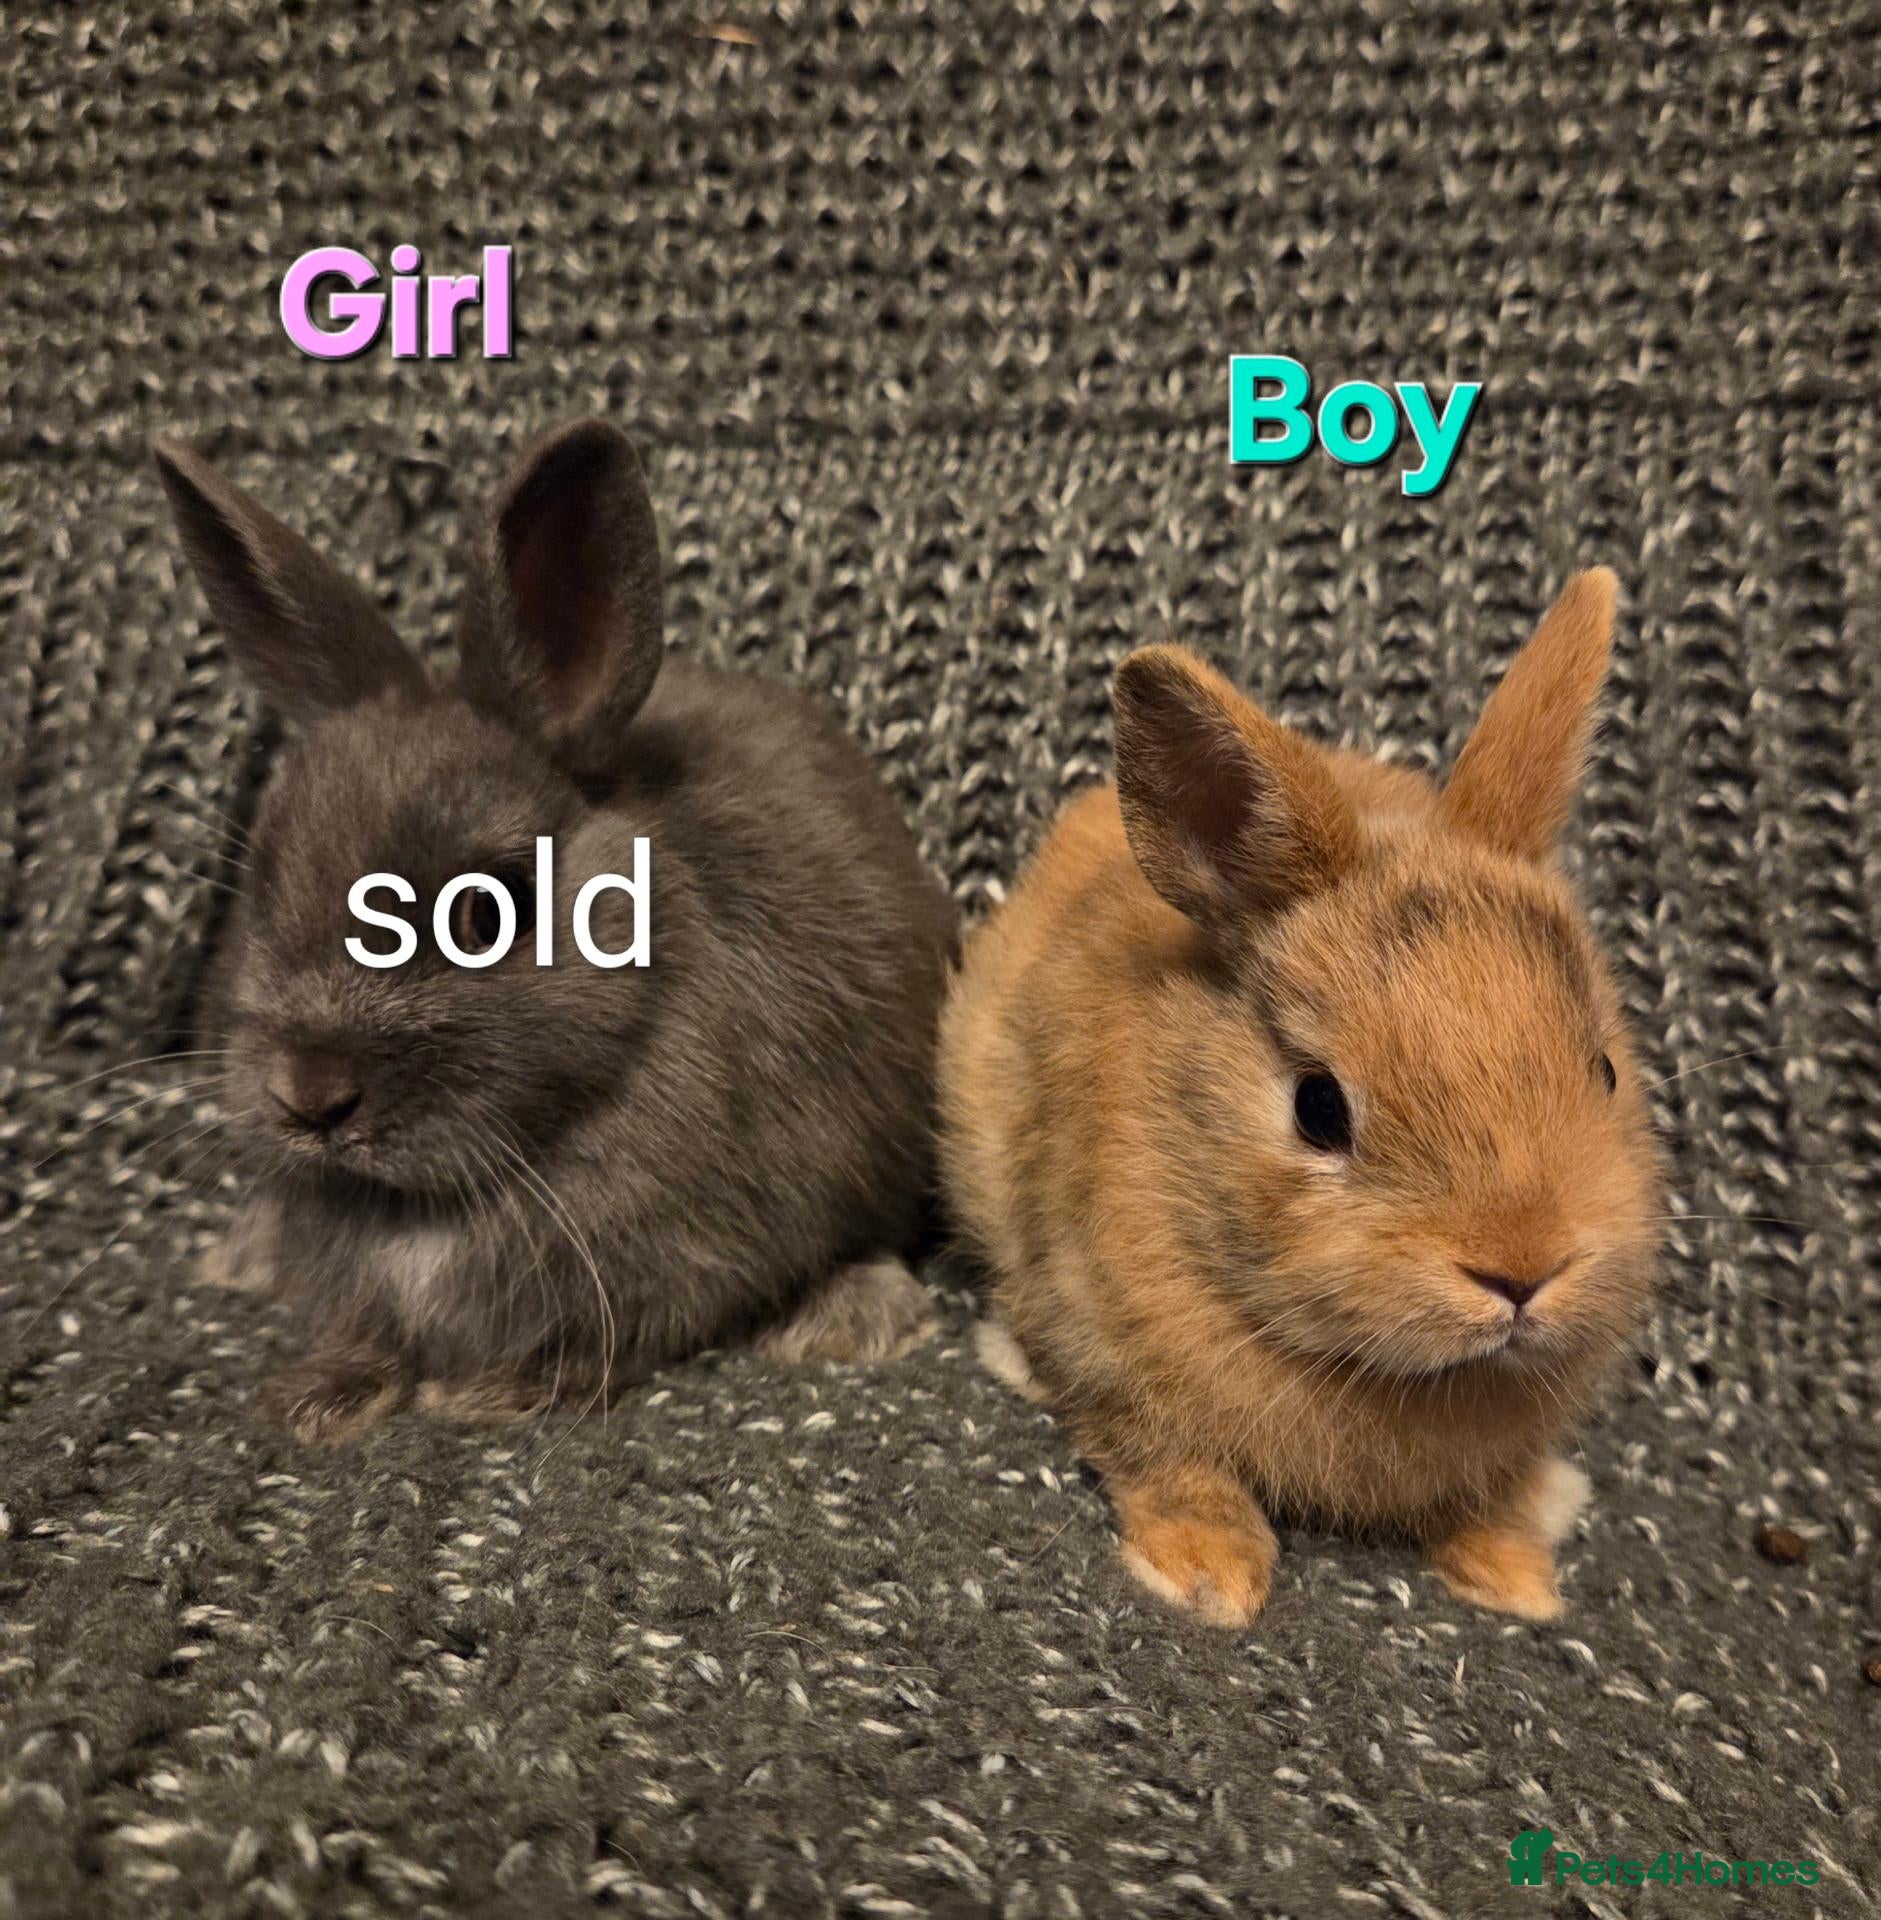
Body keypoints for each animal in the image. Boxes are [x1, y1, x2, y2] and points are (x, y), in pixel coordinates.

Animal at [155, 420, 957, 1445]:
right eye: (262, 881)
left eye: (483, 911)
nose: (310, 1096)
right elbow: (365, 1334)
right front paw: (315, 1396)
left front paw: (497, 1394)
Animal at [939, 571, 1660, 1625]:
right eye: (1318, 1108)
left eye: (1602, 1071)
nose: (1523, 1269)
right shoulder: (1098, 1338)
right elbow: (1166, 1457)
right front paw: (1211, 1575)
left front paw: (1514, 1575)